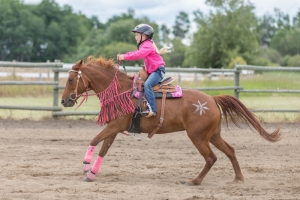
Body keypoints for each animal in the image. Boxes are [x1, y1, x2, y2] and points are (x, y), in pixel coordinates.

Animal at [61, 56, 282, 184]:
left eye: (71, 79)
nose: (64, 100)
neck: (120, 90)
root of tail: (212, 99)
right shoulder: (114, 128)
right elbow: (104, 148)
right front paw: (92, 173)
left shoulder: (115, 125)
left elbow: (94, 140)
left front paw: (85, 165)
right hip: (213, 135)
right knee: (230, 151)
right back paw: (238, 178)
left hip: (198, 137)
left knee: (211, 158)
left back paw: (194, 181)